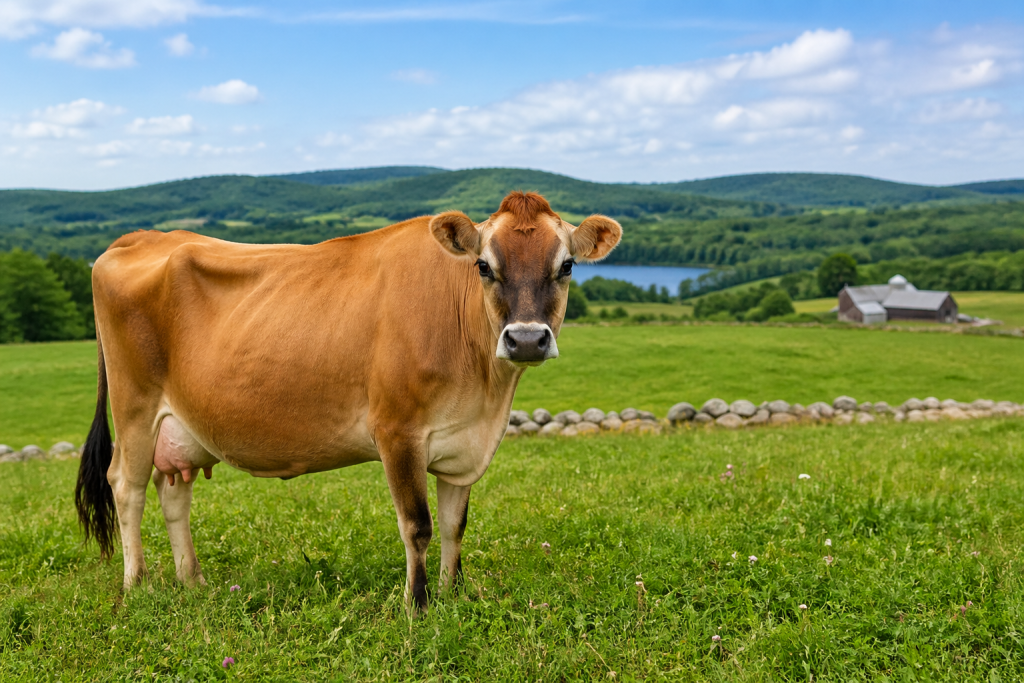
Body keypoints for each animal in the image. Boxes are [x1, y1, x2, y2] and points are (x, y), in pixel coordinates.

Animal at [75, 191, 622, 612]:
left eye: (567, 266)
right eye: (484, 266)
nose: (526, 339)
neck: (486, 392)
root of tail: (141, 236)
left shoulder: (464, 440)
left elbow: (455, 525)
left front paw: (454, 593)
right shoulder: (398, 431)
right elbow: (418, 526)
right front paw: (418, 606)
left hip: (181, 425)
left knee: (173, 491)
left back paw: (193, 581)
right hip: (135, 406)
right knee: (126, 486)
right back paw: (137, 585)